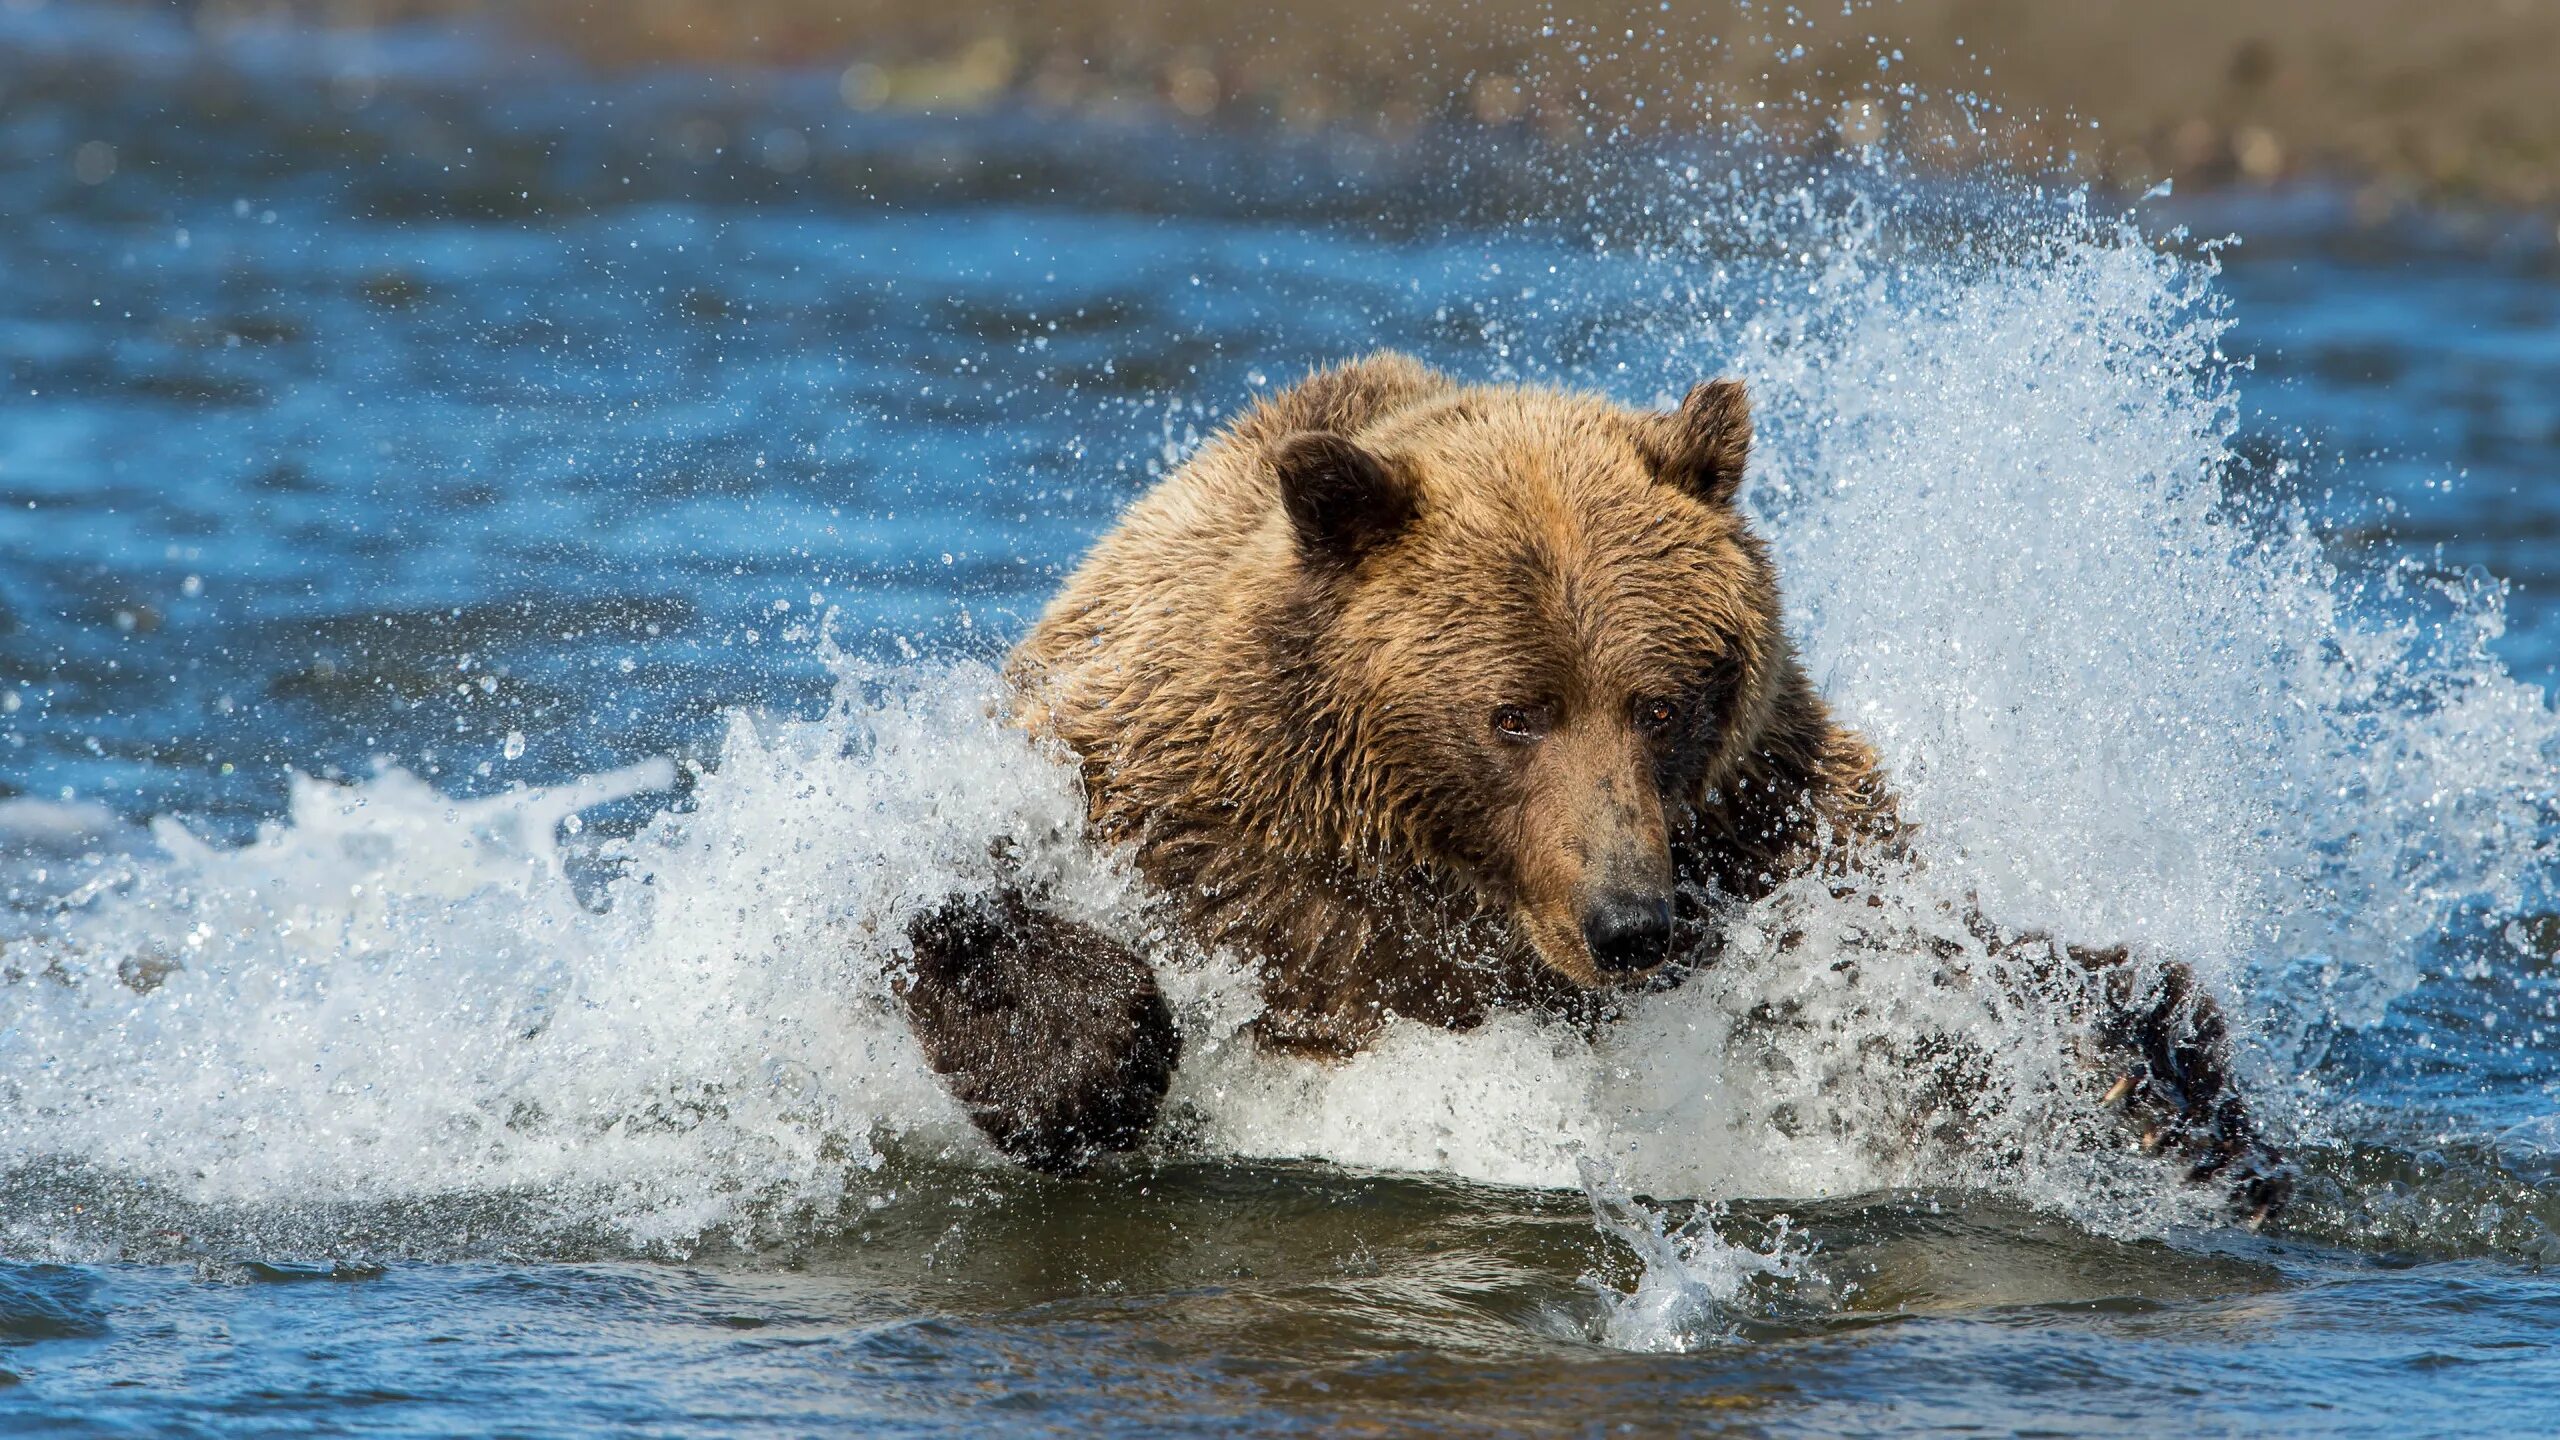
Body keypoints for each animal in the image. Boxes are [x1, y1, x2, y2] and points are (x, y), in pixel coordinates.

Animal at [901, 348, 2283, 1209]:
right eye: (1514, 714)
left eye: (1659, 703)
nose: (1629, 922)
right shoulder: (1176, 809)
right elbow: (965, 902)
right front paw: (1085, 1053)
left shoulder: (1774, 826)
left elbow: (1933, 985)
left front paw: (2150, 1083)